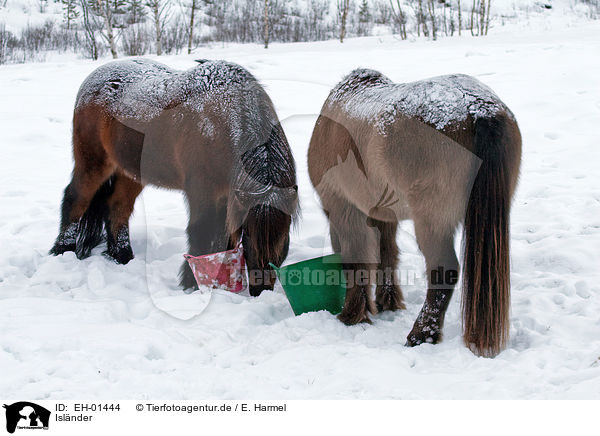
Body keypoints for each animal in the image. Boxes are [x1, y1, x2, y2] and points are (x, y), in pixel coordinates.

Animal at [50, 58, 298, 296]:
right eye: (250, 242)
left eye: (283, 243)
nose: (260, 291)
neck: (223, 121)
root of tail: (93, 80)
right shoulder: (203, 193)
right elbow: (203, 233)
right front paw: (193, 283)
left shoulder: (229, 197)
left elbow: (225, 237)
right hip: (93, 162)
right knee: (76, 198)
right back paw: (62, 250)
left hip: (130, 173)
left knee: (118, 207)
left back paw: (122, 255)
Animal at [310, 69, 520, 358]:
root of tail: (478, 108)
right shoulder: (383, 214)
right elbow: (386, 254)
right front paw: (387, 301)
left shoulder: (344, 207)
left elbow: (357, 259)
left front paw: (352, 315)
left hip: (431, 222)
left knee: (444, 270)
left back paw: (421, 335)